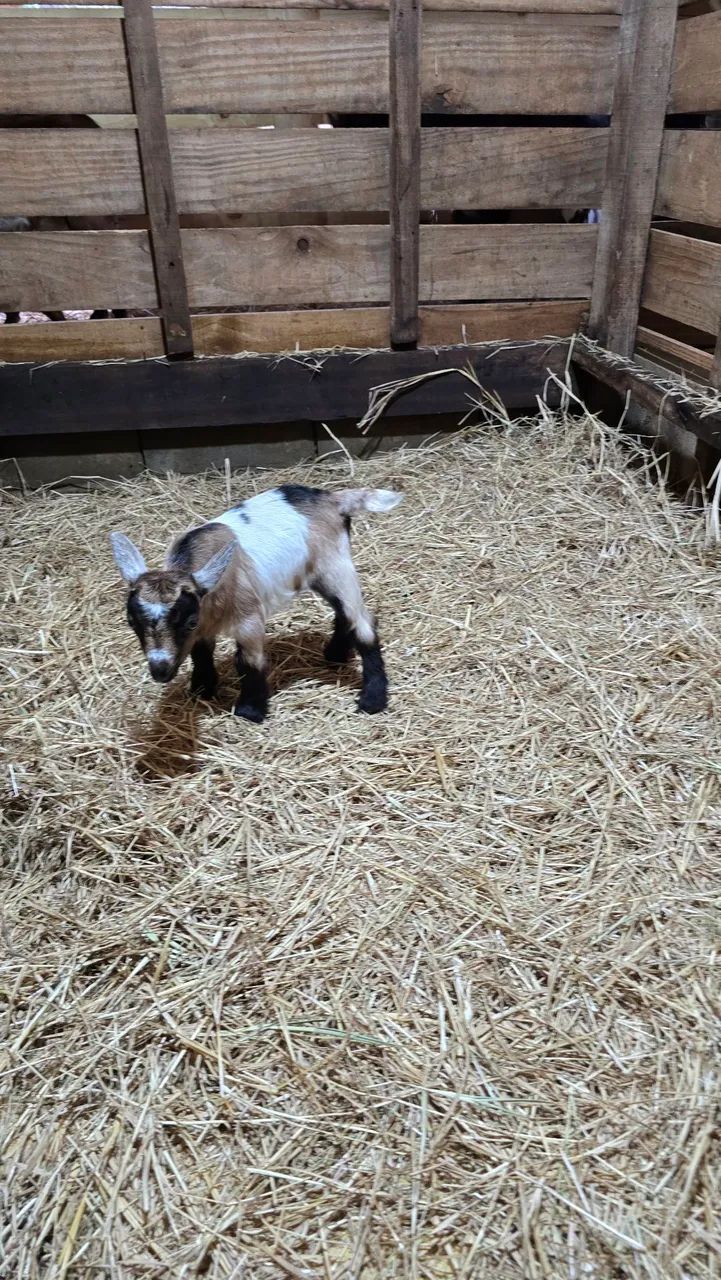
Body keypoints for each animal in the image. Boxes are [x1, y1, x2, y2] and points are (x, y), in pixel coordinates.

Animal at [110, 484, 403, 720]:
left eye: (188, 621)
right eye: (131, 622)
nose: (160, 670)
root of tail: (332, 498)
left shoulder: (248, 618)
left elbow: (249, 661)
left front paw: (249, 711)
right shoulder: (205, 623)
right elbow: (201, 653)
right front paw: (202, 689)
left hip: (336, 566)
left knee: (363, 622)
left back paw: (372, 699)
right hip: (322, 574)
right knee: (344, 613)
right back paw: (335, 655)